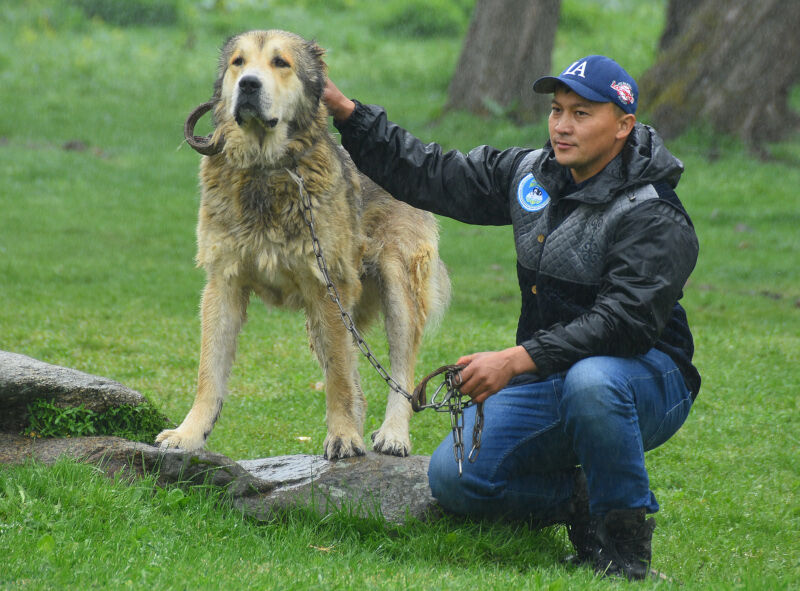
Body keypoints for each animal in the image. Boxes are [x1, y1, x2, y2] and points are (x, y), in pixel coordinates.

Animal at [156, 30, 450, 460]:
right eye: (239, 63)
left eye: (281, 63)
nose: (249, 85)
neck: (266, 169)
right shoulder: (223, 283)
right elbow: (208, 372)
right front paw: (189, 434)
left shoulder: (328, 286)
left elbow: (340, 379)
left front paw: (343, 437)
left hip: (396, 285)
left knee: (401, 370)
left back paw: (393, 435)